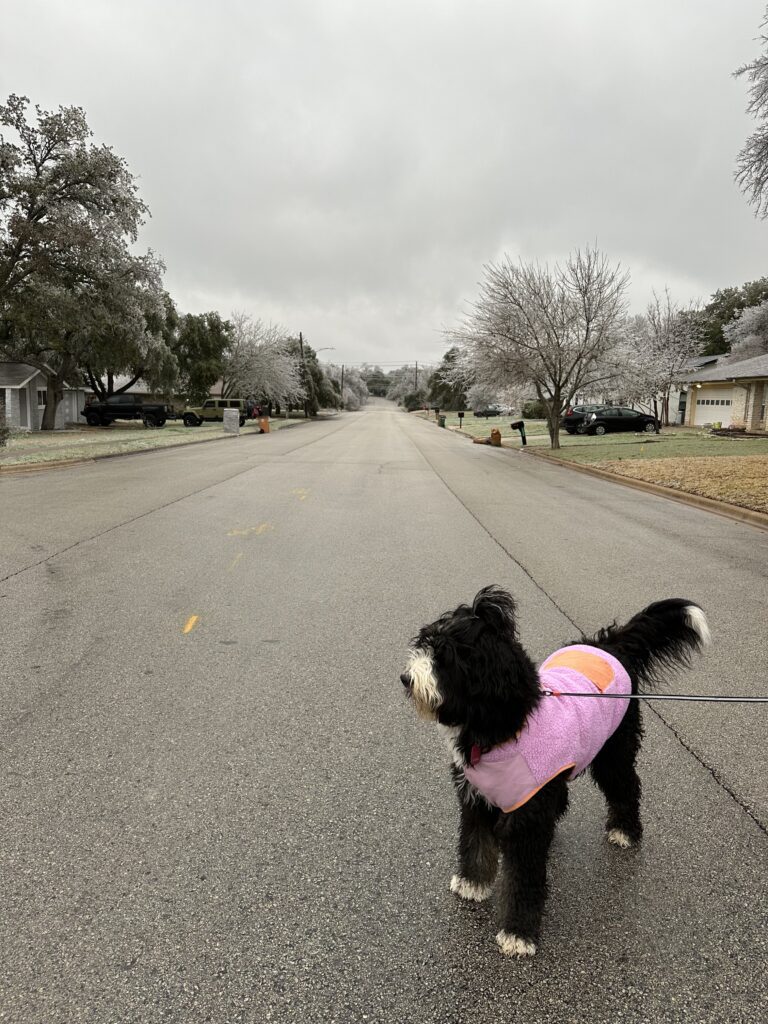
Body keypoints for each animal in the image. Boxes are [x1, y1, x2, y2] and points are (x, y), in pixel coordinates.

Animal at [399, 589, 712, 954]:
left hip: (613, 750)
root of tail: (608, 646)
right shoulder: (477, 798)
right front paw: (472, 883)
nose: (405, 679)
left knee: (626, 786)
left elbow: (523, 880)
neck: (502, 727)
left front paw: (518, 933)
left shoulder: (526, 819)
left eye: (445, 656)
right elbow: (476, 842)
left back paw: (625, 830)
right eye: (425, 644)